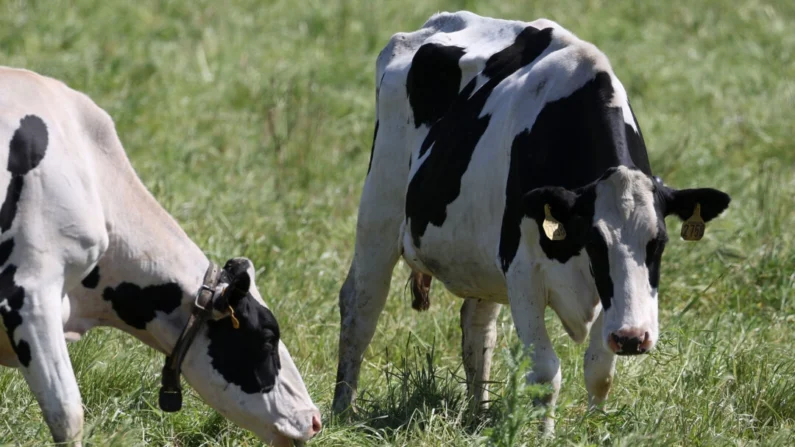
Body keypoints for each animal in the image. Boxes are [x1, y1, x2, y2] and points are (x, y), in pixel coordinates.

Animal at [332, 10, 732, 432]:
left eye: (659, 242)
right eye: (594, 243)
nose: (633, 337)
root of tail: (440, 20)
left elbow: (599, 370)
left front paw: (593, 430)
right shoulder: (522, 269)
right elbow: (545, 372)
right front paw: (545, 435)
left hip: (478, 252)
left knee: (477, 326)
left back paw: (479, 412)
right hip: (380, 206)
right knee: (361, 306)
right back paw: (343, 408)